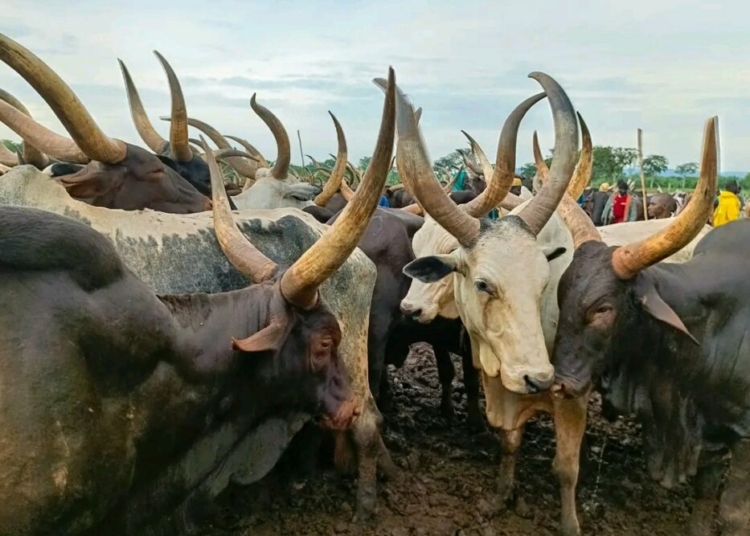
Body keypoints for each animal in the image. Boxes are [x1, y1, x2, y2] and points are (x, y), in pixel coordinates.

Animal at [547, 117, 750, 535]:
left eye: (603, 309)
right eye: (561, 293)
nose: (559, 384)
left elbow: (735, 513)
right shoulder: (707, 429)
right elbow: (705, 494)